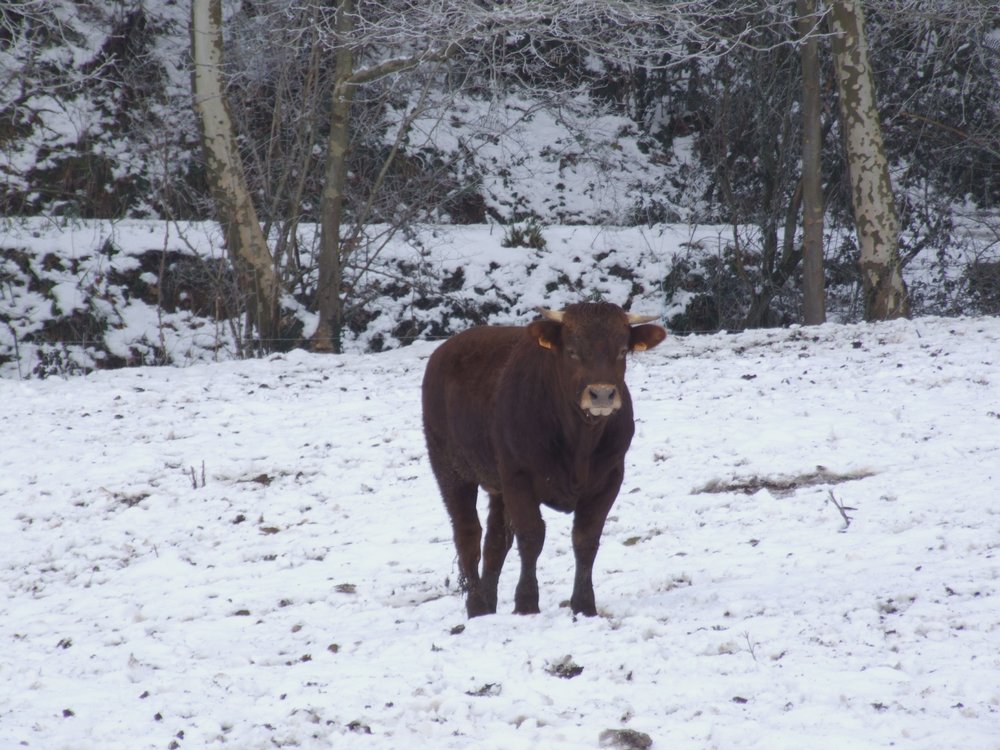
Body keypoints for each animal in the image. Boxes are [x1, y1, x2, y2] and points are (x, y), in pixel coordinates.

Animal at [422, 302, 664, 620]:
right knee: (468, 535)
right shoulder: (518, 477)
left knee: (495, 542)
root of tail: (445, 349)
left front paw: (584, 605)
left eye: (622, 351)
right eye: (572, 351)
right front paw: (526, 603)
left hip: (497, 485)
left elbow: (585, 538)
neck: (579, 443)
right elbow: (531, 536)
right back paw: (476, 608)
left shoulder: (609, 478)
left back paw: (488, 605)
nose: (602, 394)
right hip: (450, 469)